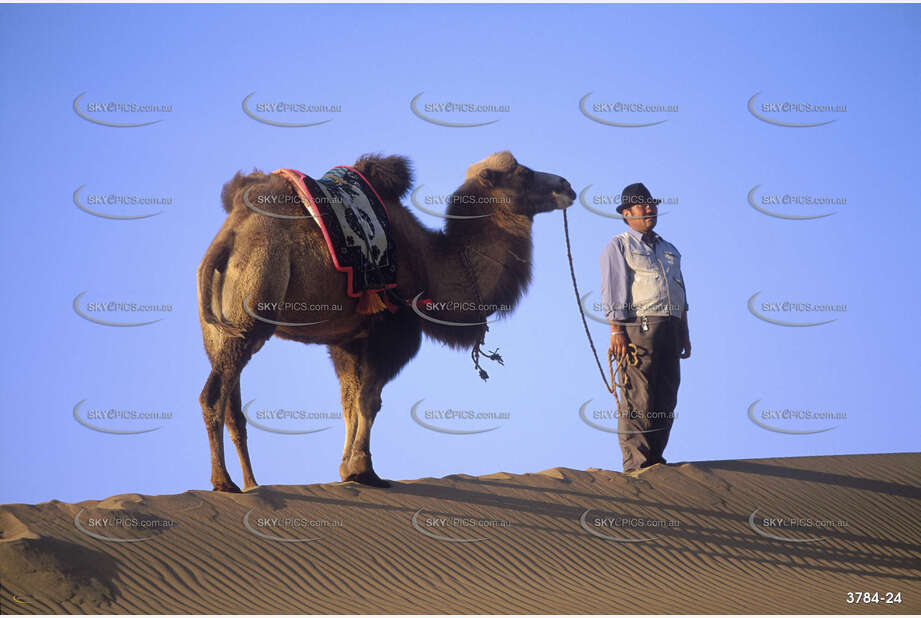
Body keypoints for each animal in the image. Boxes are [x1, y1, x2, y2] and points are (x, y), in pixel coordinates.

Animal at [199, 152, 576, 488]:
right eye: (524, 173)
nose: (567, 185)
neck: (432, 266)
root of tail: (229, 236)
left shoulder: (349, 339)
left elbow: (349, 401)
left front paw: (346, 471)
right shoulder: (392, 329)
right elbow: (369, 401)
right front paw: (364, 471)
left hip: (220, 328)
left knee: (232, 402)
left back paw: (251, 485)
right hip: (256, 297)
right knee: (215, 393)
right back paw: (223, 482)